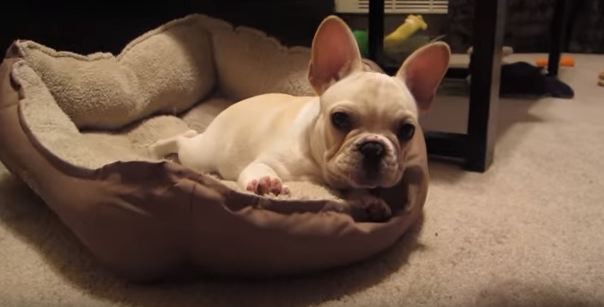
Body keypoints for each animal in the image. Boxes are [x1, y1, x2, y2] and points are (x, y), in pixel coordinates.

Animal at [153, 15, 450, 221]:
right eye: (340, 119)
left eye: (407, 130)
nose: (374, 147)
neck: (318, 162)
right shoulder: (266, 160)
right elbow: (259, 169)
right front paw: (265, 182)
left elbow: (355, 188)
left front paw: (370, 200)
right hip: (199, 155)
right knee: (183, 140)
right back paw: (158, 147)